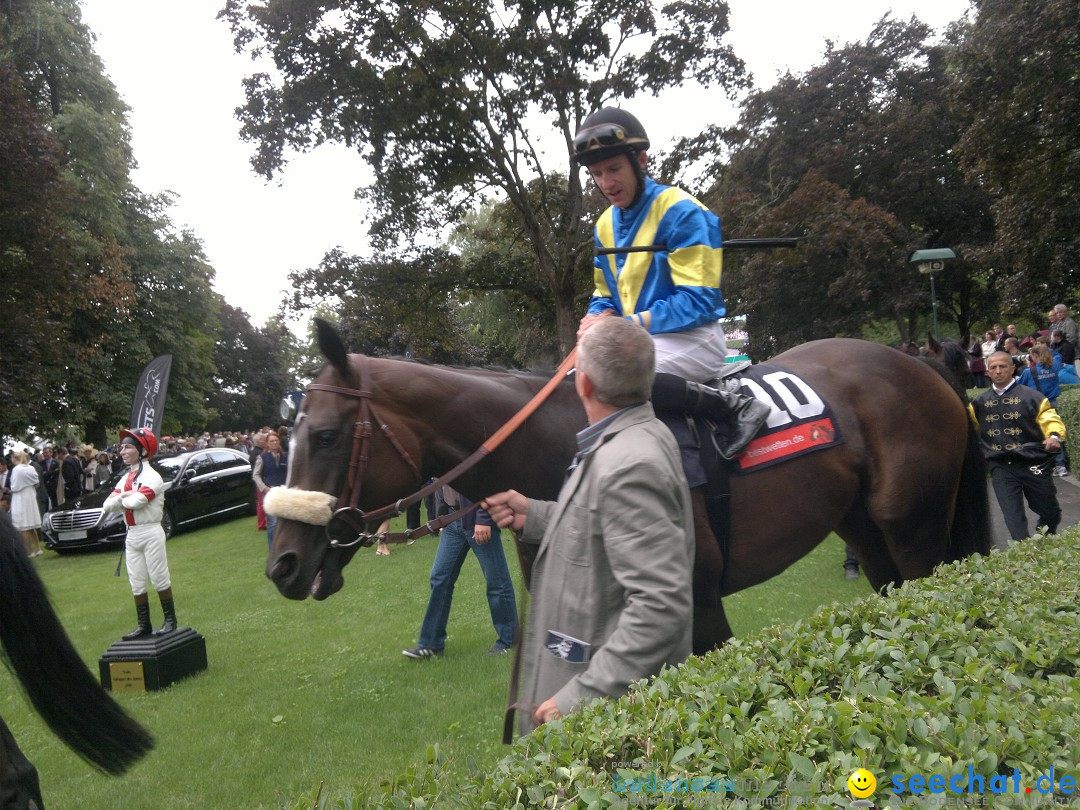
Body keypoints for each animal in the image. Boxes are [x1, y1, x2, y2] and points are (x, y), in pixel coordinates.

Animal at [267, 321, 989, 652]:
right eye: (288, 439)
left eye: (325, 436)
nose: (282, 564)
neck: (568, 450)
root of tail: (917, 364)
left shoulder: (698, 604)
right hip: (866, 532)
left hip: (916, 527)